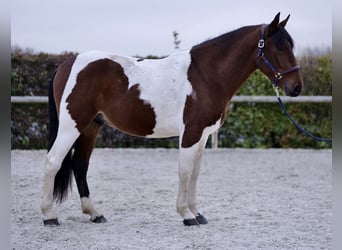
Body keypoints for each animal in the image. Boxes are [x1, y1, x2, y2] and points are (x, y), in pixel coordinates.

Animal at [42, 13, 302, 227]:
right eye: (280, 47)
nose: (297, 87)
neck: (205, 76)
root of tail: (66, 65)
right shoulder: (190, 134)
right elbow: (184, 172)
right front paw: (186, 215)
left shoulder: (203, 137)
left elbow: (195, 174)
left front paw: (197, 213)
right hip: (72, 126)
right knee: (52, 161)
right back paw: (49, 216)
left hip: (90, 127)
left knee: (80, 165)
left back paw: (95, 214)